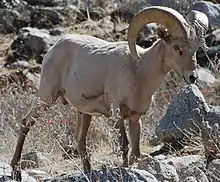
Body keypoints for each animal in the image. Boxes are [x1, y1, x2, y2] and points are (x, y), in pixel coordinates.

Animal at [10, 5, 210, 173]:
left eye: (195, 48)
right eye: (177, 47)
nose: (192, 77)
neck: (139, 71)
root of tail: (54, 48)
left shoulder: (135, 118)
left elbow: (135, 151)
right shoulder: (118, 114)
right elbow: (124, 145)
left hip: (84, 113)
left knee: (80, 141)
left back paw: (88, 171)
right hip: (47, 96)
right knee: (26, 122)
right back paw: (15, 168)